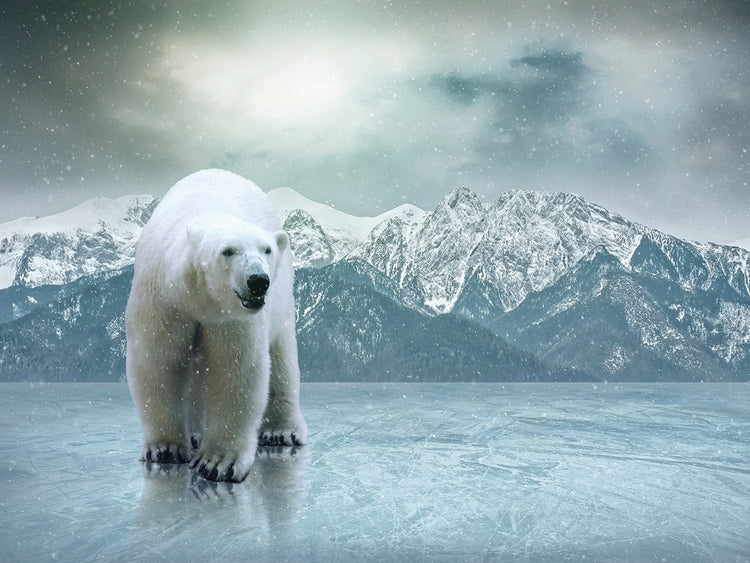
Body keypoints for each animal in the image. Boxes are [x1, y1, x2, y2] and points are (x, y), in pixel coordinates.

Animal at [126, 169, 308, 483]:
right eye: (228, 251)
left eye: (267, 249)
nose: (258, 280)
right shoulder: (161, 298)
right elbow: (157, 360)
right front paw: (165, 448)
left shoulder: (230, 317)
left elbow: (234, 367)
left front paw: (217, 462)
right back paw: (195, 434)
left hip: (283, 303)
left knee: (282, 359)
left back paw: (281, 431)